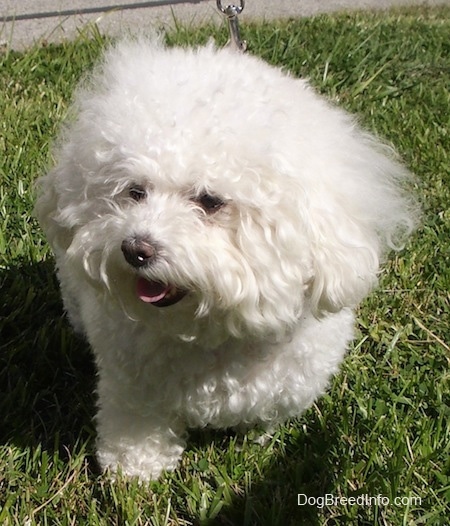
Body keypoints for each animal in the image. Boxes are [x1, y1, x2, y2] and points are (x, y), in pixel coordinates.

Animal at [35, 38, 418, 482]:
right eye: (135, 191)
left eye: (209, 201)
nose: (136, 249)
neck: (210, 334)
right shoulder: (131, 387)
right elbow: (136, 428)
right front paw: (133, 474)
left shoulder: (289, 385)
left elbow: (266, 416)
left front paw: (257, 436)